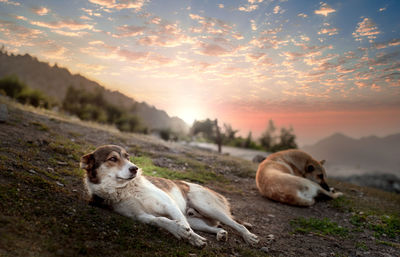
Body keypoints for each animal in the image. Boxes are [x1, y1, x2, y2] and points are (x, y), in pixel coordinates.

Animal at [80, 144, 260, 246]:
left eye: (127, 157)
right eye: (112, 158)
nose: (135, 168)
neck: (126, 189)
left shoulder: (169, 204)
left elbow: (183, 225)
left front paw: (192, 238)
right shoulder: (141, 216)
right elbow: (161, 220)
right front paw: (179, 231)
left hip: (207, 207)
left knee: (236, 224)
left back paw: (249, 237)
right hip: (195, 218)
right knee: (214, 227)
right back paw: (220, 234)